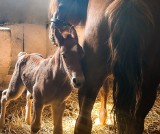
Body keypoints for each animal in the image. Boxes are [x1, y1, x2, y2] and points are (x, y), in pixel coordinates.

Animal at [49, 0, 159, 134]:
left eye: (61, 4)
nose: (52, 35)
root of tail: (129, 5)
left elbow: (104, 90)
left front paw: (102, 118)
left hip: (89, 79)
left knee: (83, 122)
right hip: (150, 80)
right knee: (138, 120)